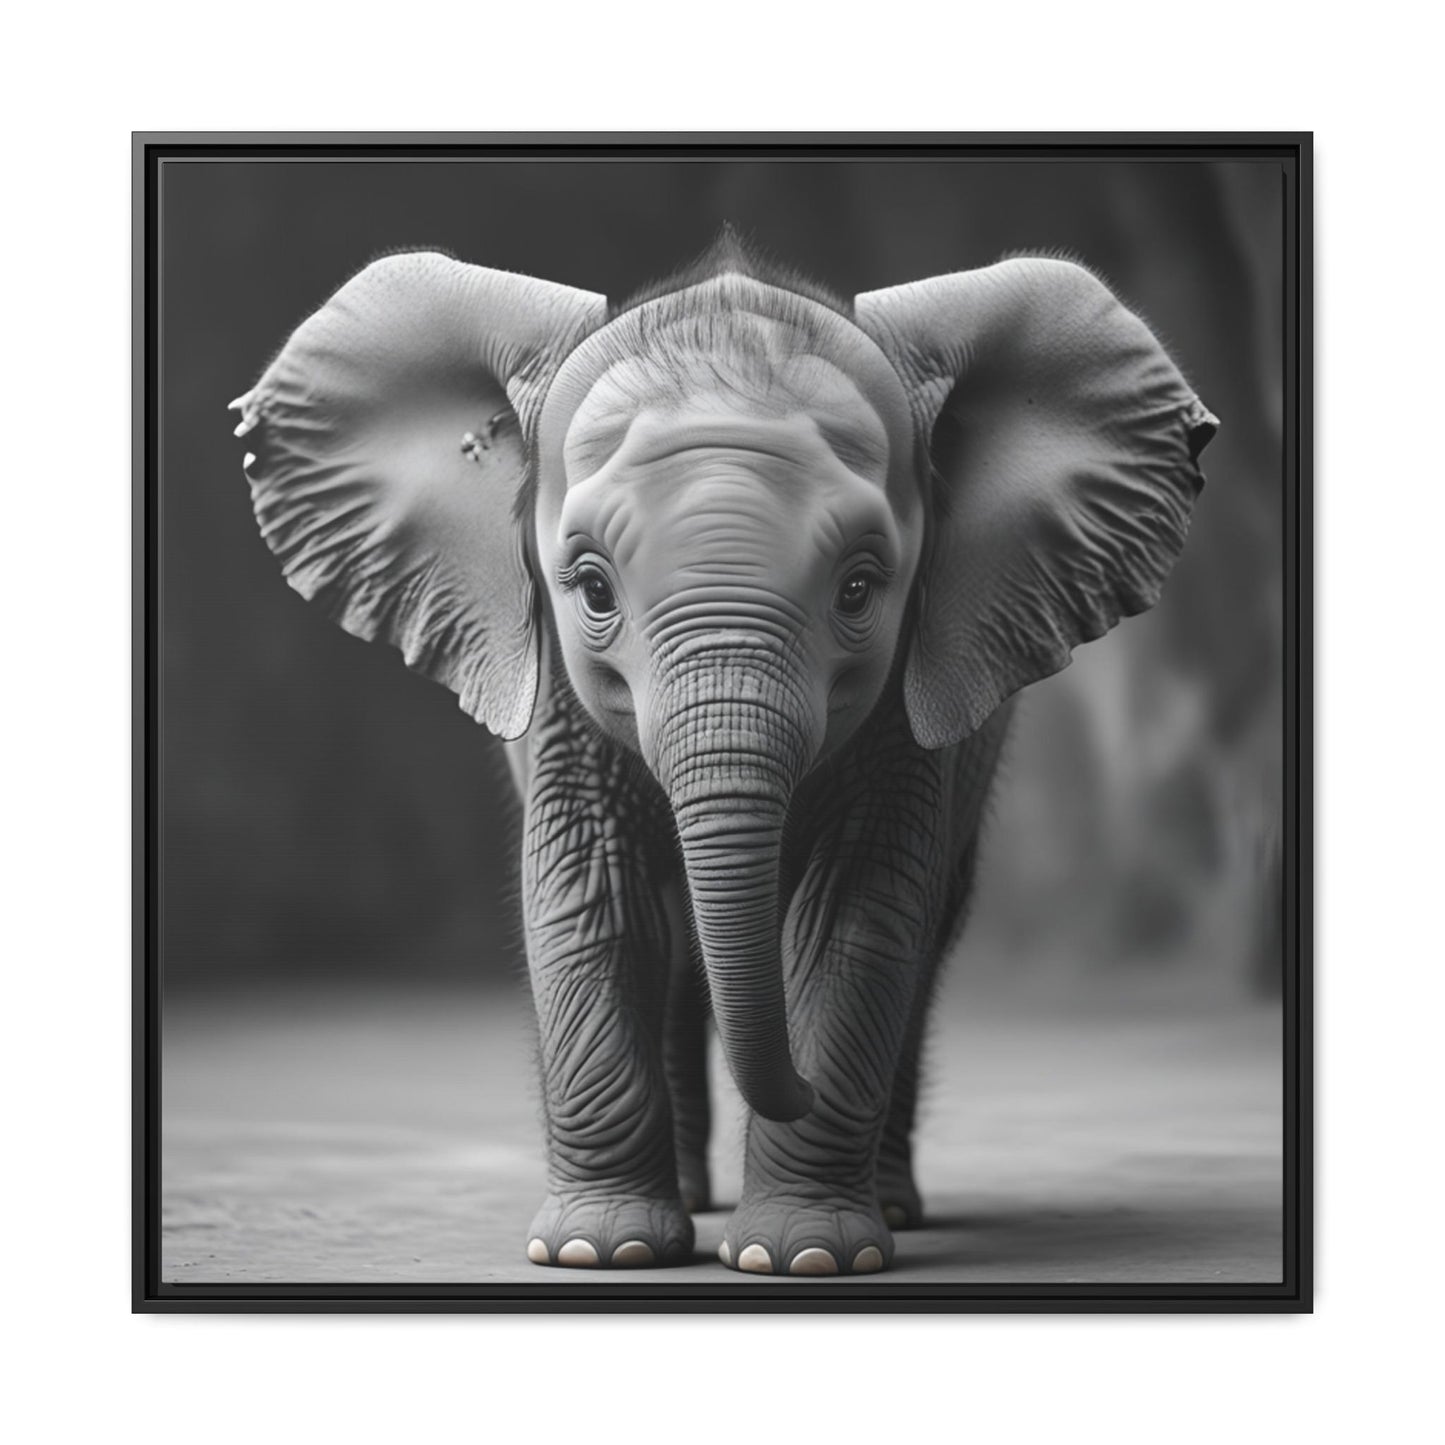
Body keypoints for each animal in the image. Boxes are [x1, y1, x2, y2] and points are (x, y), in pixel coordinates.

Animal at [231, 231, 1216, 1276]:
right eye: (590, 587)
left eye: (860, 588)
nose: (796, 1090)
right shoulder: (556, 693)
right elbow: (594, 893)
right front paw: (597, 1250)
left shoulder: (907, 693)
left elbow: (857, 911)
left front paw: (804, 1256)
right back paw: (691, 1203)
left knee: (921, 935)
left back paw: (888, 1205)